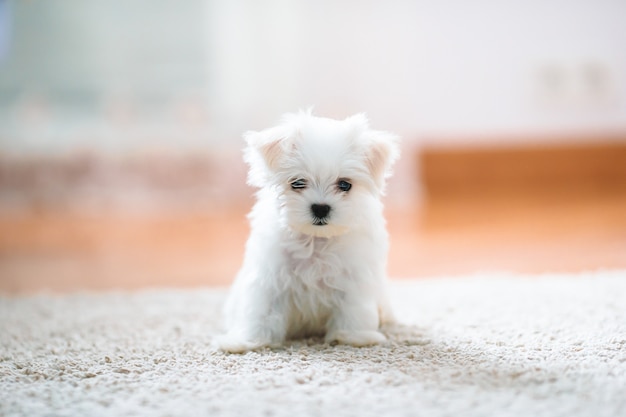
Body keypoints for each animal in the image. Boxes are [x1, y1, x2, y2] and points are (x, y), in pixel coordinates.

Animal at [217, 109, 398, 352]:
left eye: (345, 185)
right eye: (297, 182)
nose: (320, 208)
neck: (316, 241)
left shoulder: (353, 276)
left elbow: (353, 309)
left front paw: (353, 337)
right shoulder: (270, 278)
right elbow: (261, 312)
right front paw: (247, 341)